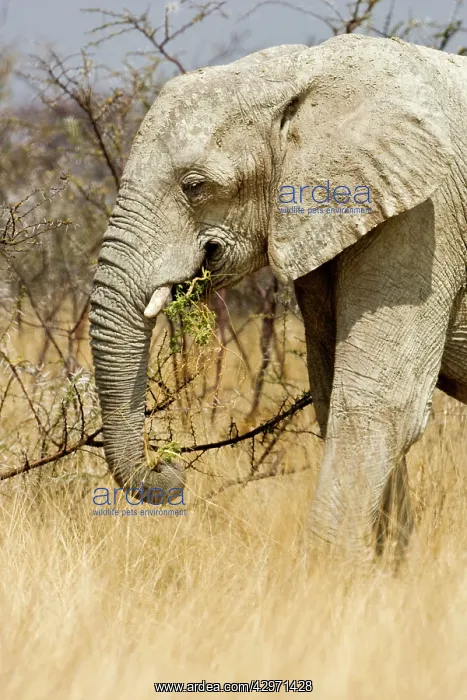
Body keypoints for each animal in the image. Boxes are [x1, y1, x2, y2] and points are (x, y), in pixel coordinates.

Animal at [89, 33, 467, 558]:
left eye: (195, 186)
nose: (168, 464)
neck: (301, 71)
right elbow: (333, 392)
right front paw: (386, 570)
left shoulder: (427, 213)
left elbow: (379, 401)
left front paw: (330, 572)